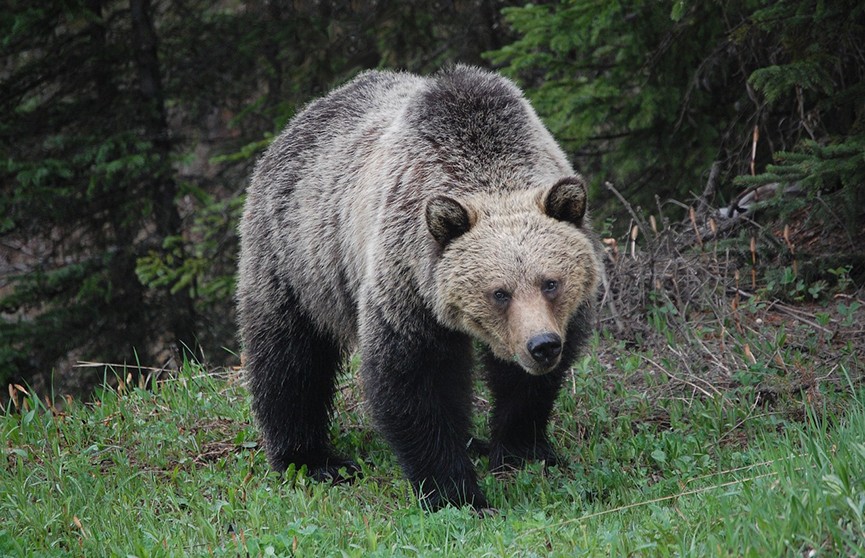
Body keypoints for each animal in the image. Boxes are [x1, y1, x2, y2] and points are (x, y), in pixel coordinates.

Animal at [236, 64, 600, 512]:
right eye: (499, 292)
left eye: (551, 282)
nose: (542, 345)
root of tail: (300, 117)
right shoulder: (407, 282)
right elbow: (415, 380)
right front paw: (456, 492)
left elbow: (526, 386)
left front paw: (522, 449)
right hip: (297, 257)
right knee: (290, 358)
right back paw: (312, 459)